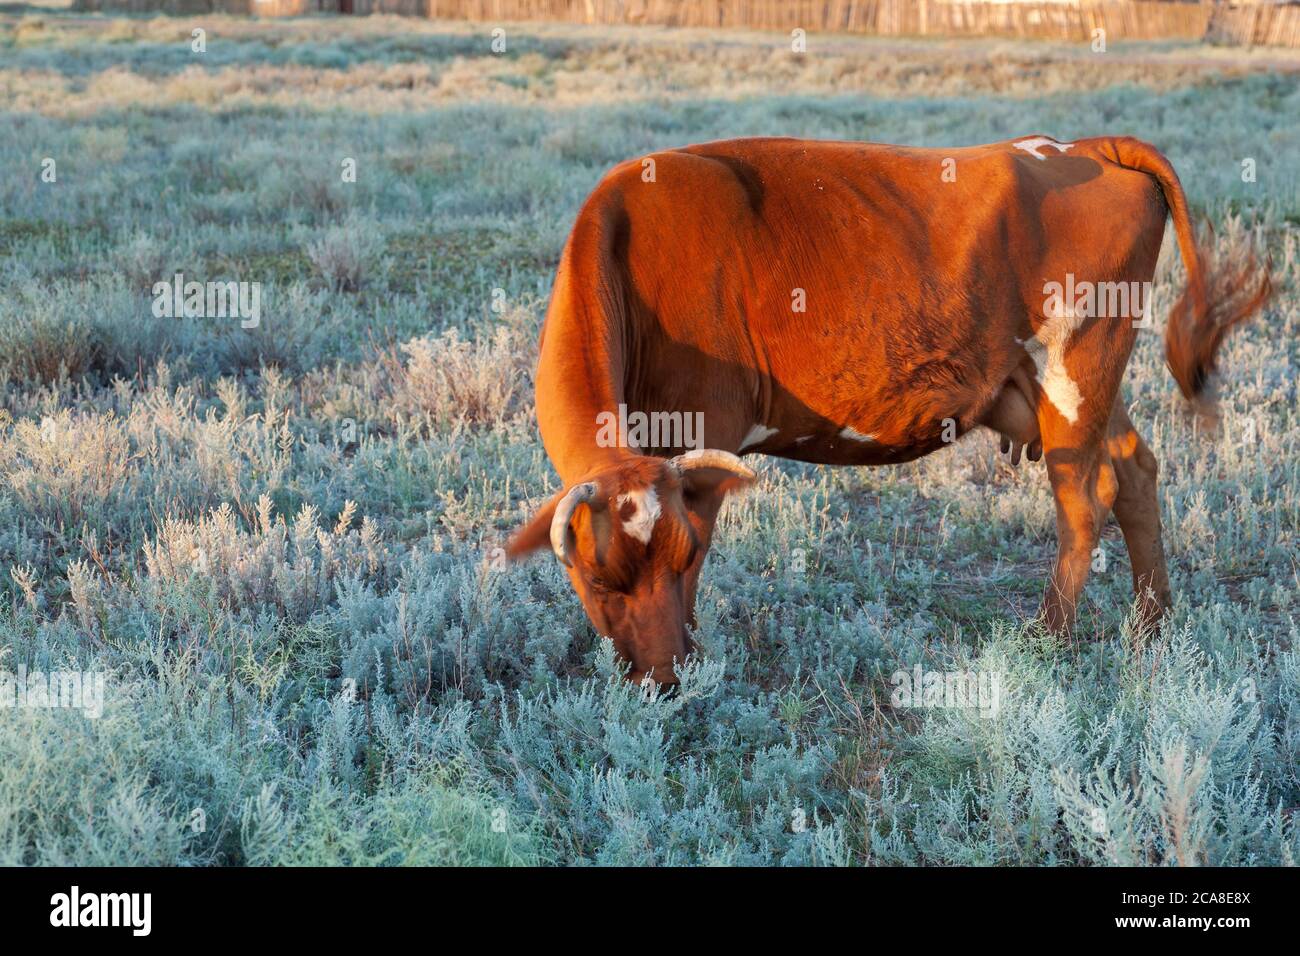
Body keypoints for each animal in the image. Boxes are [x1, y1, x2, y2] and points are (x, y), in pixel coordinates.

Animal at [506, 136, 1268, 686]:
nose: (664, 679)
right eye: (597, 580)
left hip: (1076, 366)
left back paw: (1048, 637)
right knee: (1136, 472)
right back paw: (1151, 629)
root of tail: (1086, 147)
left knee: (1085, 495)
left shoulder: (703, 433)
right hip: (1070, 385)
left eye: (683, 554)